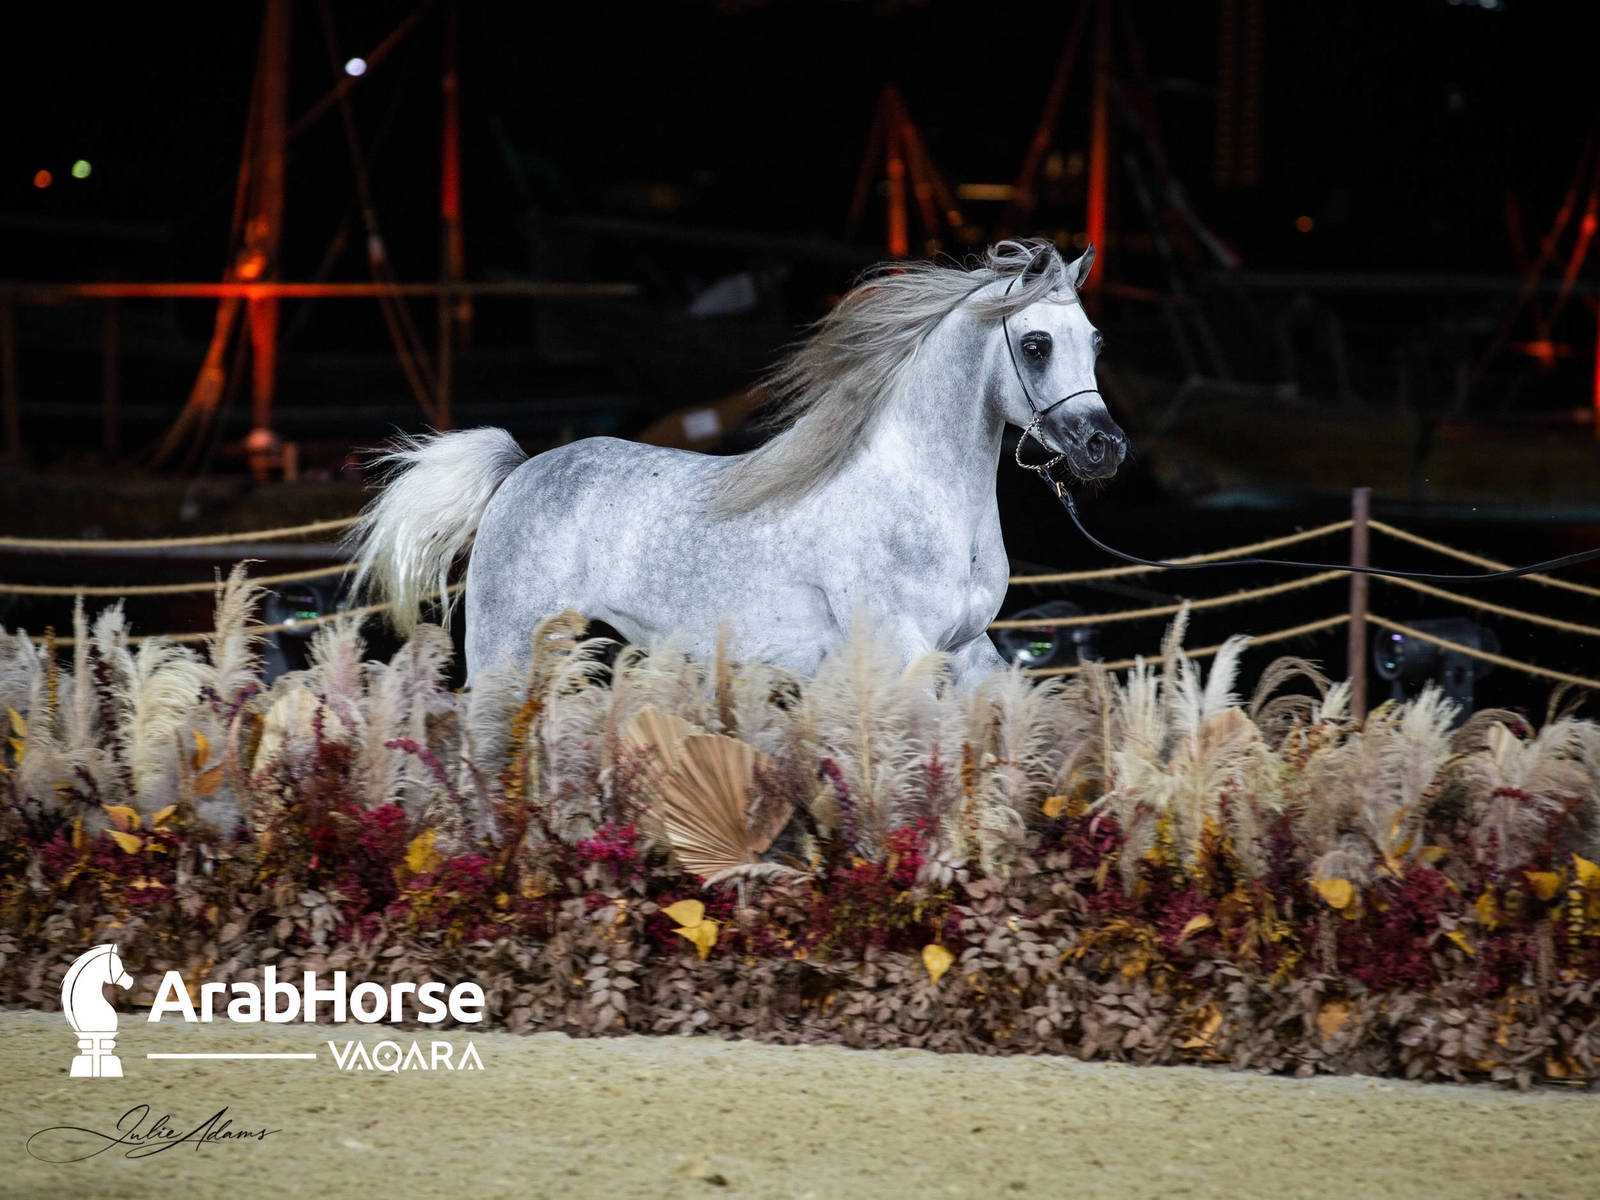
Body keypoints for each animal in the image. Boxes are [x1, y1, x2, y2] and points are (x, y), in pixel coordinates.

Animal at [349, 239, 1126, 688]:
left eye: (1095, 340)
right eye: (1034, 344)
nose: (1104, 447)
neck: (922, 505)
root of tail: (520, 471)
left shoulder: (965, 652)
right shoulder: (899, 655)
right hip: (506, 650)